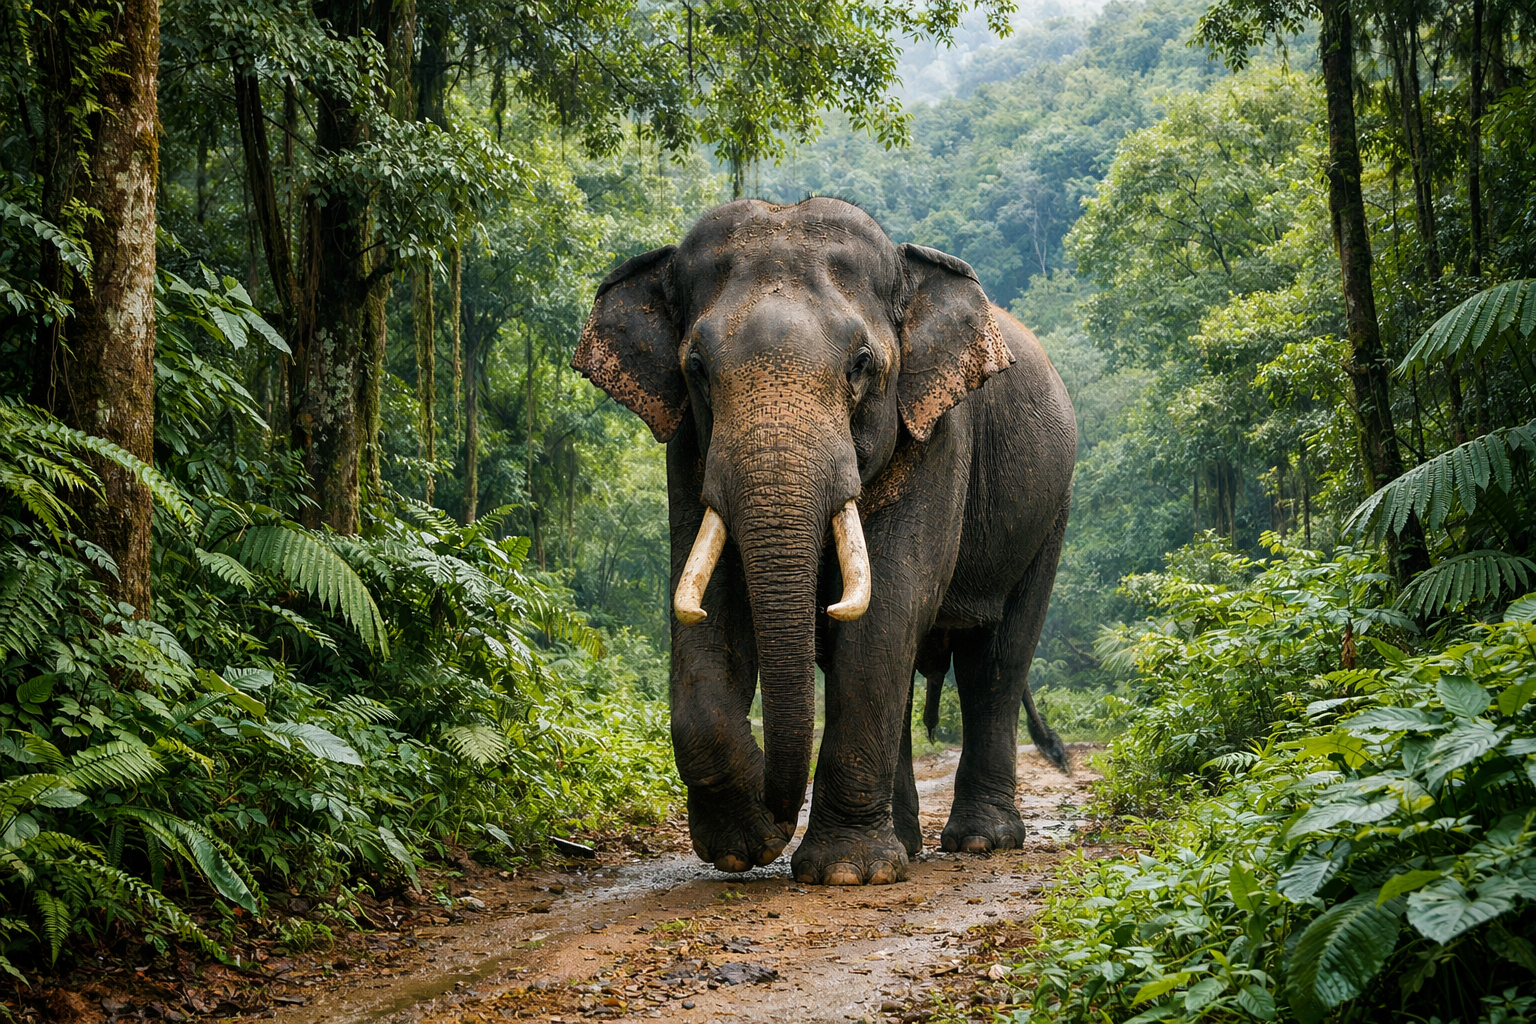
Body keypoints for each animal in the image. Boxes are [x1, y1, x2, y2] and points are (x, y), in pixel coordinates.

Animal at [573, 197, 1075, 886]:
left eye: (862, 364)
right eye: (695, 369)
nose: (780, 811)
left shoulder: (941, 433)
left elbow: (890, 604)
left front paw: (845, 873)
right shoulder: (687, 448)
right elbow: (710, 603)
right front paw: (745, 846)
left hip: (1049, 512)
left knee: (995, 662)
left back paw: (980, 842)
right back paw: (908, 845)